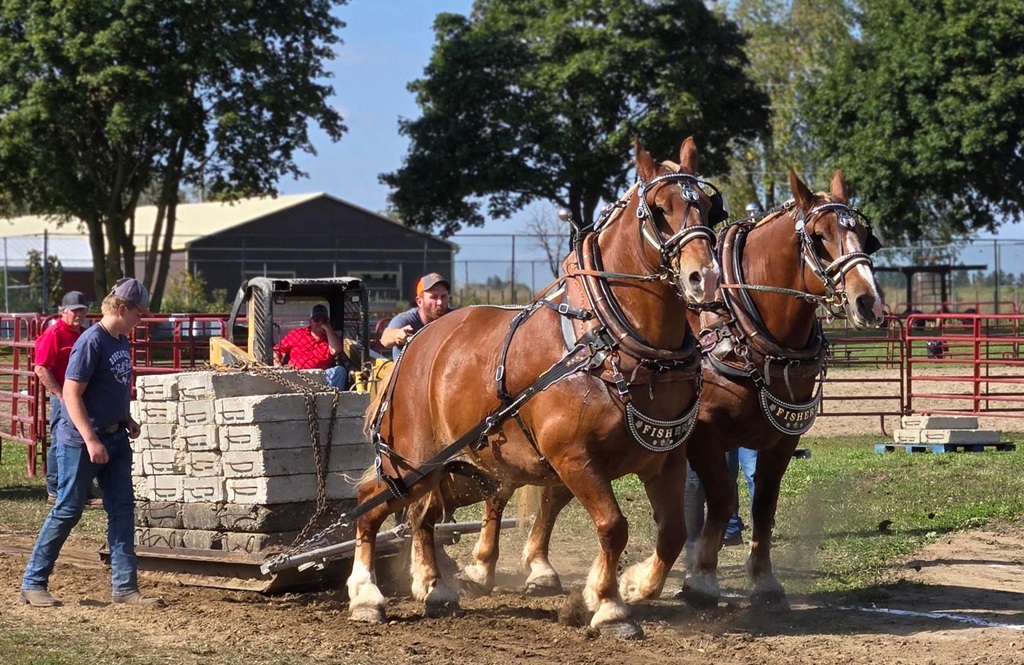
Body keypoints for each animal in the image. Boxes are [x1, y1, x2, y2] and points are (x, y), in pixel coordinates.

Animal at [346, 137, 721, 639]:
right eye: (660, 210)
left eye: (709, 208)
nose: (706, 277)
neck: (608, 340)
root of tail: (413, 346)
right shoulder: (574, 457)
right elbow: (613, 525)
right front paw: (609, 606)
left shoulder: (666, 459)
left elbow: (674, 532)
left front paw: (631, 585)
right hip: (411, 461)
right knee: (372, 505)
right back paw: (367, 596)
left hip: (448, 465)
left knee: (423, 516)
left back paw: (436, 588)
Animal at [462, 168, 884, 610]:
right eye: (819, 236)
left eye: (863, 234)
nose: (868, 301)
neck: (740, 327)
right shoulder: (703, 438)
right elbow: (720, 500)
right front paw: (699, 577)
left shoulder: (780, 441)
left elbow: (763, 506)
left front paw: (764, 580)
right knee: (501, 486)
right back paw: (488, 566)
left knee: (550, 492)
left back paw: (538, 566)